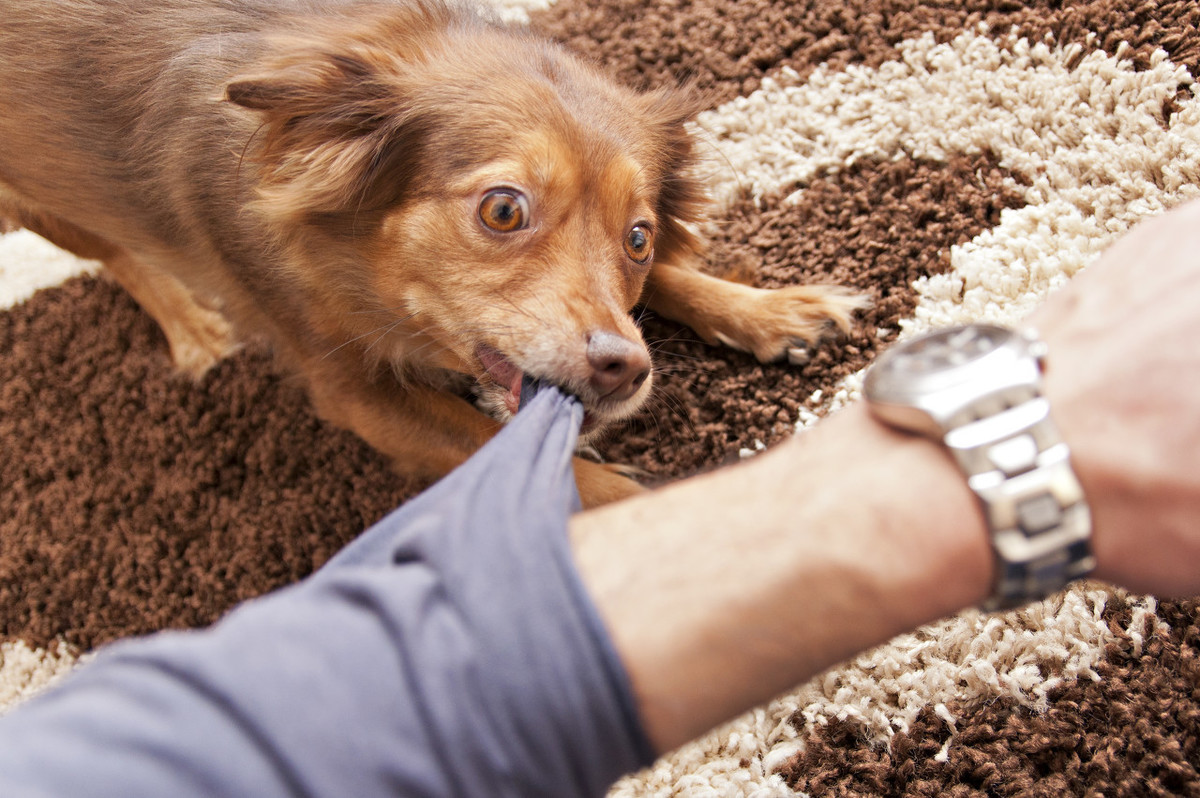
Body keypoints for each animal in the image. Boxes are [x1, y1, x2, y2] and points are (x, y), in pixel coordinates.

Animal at [0, 0, 864, 506]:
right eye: (504, 209)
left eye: (640, 238)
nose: (626, 368)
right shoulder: (354, 392)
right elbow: (522, 457)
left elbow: (677, 286)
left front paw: (767, 310)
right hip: (38, 200)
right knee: (116, 255)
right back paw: (190, 325)